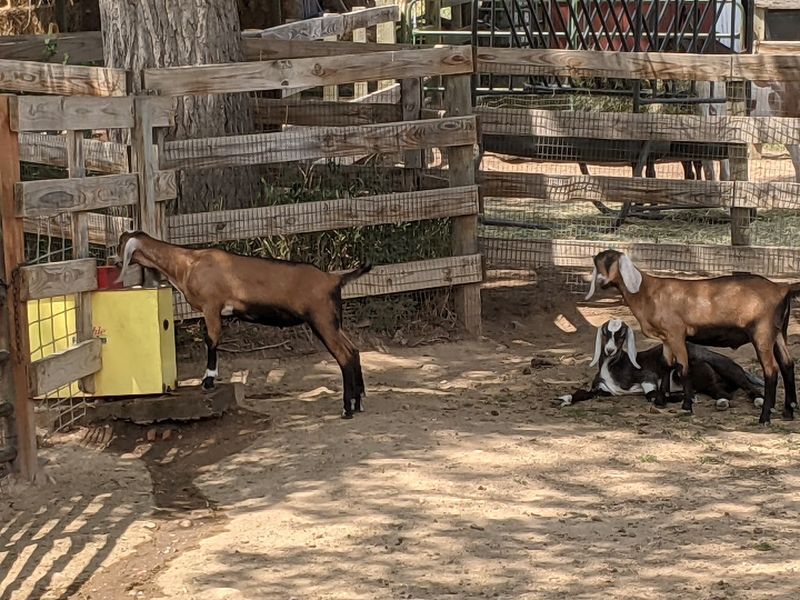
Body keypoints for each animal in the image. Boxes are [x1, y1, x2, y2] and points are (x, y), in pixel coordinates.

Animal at [115, 231, 372, 419]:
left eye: (119, 245)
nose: (114, 261)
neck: (189, 262)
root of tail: (334, 279)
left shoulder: (211, 306)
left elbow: (211, 339)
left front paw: (208, 381)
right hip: (333, 322)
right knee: (353, 350)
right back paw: (358, 402)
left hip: (322, 321)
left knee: (344, 355)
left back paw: (346, 409)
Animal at [557, 319, 764, 410]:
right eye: (606, 333)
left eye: (621, 335)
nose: (609, 351)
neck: (615, 365)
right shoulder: (603, 390)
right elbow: (582, 393)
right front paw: (565, 398)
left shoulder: (648, 378)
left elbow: (653, 396)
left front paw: (680, 398)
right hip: (710, 382)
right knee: (722, 392)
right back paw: (719, 401)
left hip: (726, 367)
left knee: (747, 385)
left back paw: (758, 400)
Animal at [585, 249, 800, 425]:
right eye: (597, 262)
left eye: (611, 261)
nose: (601, 282)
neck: (648, 291)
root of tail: (782, 289)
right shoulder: (666, 338)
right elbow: (666, 365)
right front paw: (661, 401)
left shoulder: (677, 334)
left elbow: (683, 367)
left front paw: (687, 406)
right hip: (778, 333)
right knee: (787, 364)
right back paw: (788, 412)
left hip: (762, 333)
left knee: (771, 370)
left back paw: (765, 417)